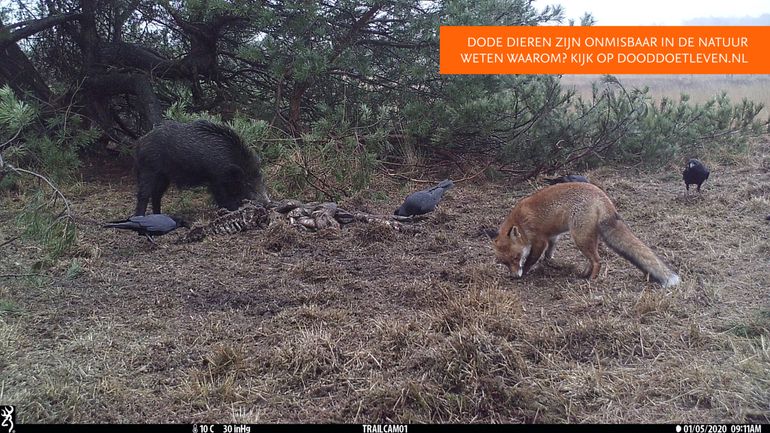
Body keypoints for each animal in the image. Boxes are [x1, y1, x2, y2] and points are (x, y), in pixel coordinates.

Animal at [492, 182, 680, 286]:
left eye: (516, 258)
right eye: (504, 263)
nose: (515, 276)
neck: (521, 223)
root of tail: (604, 197)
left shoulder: (539, 240)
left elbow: (531, 259)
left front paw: (526, 272)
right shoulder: (552, 236)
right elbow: (549, 253)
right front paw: (549, 263)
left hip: (580, 238)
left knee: (597, 260)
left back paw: (592, 279)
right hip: (586, 238)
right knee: (592, 259)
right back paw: (584, 274)